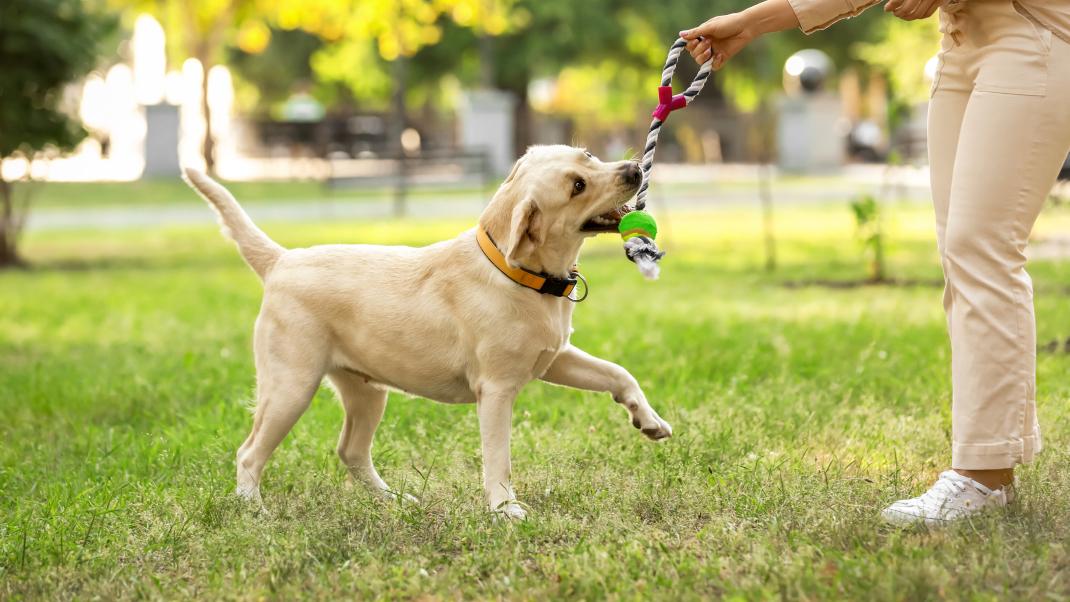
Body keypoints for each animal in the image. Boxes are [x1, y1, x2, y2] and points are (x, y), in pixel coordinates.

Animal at [181, 144, 667, 517]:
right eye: (577, 187)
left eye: (588, 155)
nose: (634, 169)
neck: (516, 272)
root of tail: (281, 260)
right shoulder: (496, 390)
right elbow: (499, 457)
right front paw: (505, 509)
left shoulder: (555, 358)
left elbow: (618, 373)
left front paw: (649, 420)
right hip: (290, 386)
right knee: (249, 453)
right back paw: (253, 509)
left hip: (366, 391)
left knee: (350, 451)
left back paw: (394, 501)